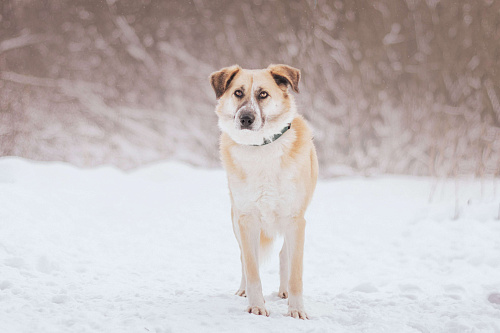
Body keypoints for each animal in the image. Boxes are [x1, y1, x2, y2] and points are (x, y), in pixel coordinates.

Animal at [209, 63, 318, 318]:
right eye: (238, 93)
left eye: (263, 94)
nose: (246, 118)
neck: (260, 147)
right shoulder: (246, 219)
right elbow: (251, 269)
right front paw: (256, 306)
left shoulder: (295, 220)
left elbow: (296, 272)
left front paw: (297, 310)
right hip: (236, 222)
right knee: (244, 258)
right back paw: (243, 290)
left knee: (284, 255)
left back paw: (284, 291)